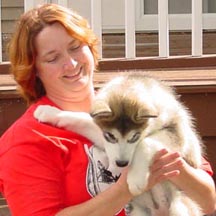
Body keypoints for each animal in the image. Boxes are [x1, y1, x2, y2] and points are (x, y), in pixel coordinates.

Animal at [34, 73, 203, 215]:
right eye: (110, 136)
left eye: (134, 137)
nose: (121, 163)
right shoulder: (101, 135)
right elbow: (80, 118)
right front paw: (49, 111)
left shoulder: (177, 132)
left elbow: (146, 142)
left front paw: (136, 178)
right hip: (137, 212)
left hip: (180, 205)